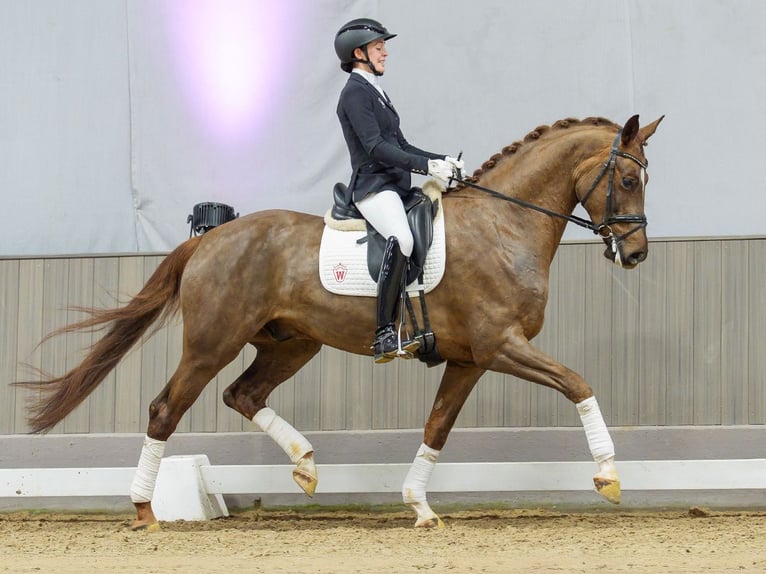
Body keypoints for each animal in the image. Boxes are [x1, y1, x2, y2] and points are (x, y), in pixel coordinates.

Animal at [16, 114, 664, 530]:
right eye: (629, 179)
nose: (636, 255)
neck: (504, 225)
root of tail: (212, 237)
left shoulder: (468, 359)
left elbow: (437, 427)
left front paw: (419, 506)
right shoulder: (499, 346)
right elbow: (578, 383)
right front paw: (609, 477)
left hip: (291, 344)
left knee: (242, 394)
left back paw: (305, 464)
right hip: (211, 343)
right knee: (165, 409)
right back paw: (145, 511)